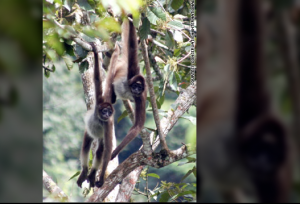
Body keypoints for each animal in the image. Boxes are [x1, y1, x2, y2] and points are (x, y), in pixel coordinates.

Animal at [76, 42, 119, 189]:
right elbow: (96, 78)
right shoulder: (100, 100)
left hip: (100, 137)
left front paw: (100, 178)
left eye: (109, 113)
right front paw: (95, 52)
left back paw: (93, 173)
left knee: (100, 150)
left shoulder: (109, 124)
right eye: (104, 111)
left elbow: (108, 150)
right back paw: (84, 170)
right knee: (86, 144)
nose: (106, 114)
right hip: (89, 133)